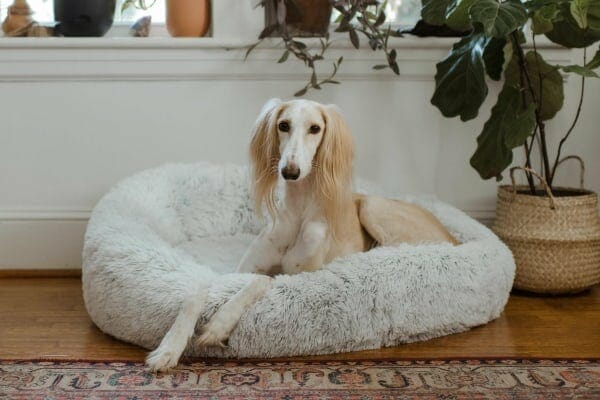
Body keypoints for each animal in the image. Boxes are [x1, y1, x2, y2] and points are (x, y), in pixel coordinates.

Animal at [148, 97, 458, 372]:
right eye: (283, 125)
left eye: (315, 128)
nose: (290, 171)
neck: (297, 213)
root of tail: (454, 237)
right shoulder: (240, 270)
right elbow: (198, 291)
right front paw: (168, 349)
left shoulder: (301, 277)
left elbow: (262, 280)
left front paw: (219, 325)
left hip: (373, 207)